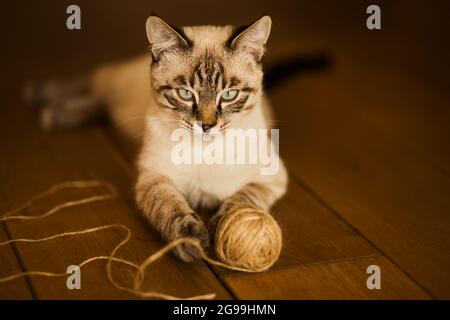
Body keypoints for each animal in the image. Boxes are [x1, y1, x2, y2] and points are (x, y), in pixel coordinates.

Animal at [27, 15, 288, 262]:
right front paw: (189, 240)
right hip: (116, 84)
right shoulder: (154, 178)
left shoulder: (270, 178)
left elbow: (242, 201)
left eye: (229, 95)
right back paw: (45, 100)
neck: (204, 151)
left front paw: (223, 227)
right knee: (93, 81)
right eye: (185, 94)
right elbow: (170, 207)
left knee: (100, 102)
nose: (207, 126)